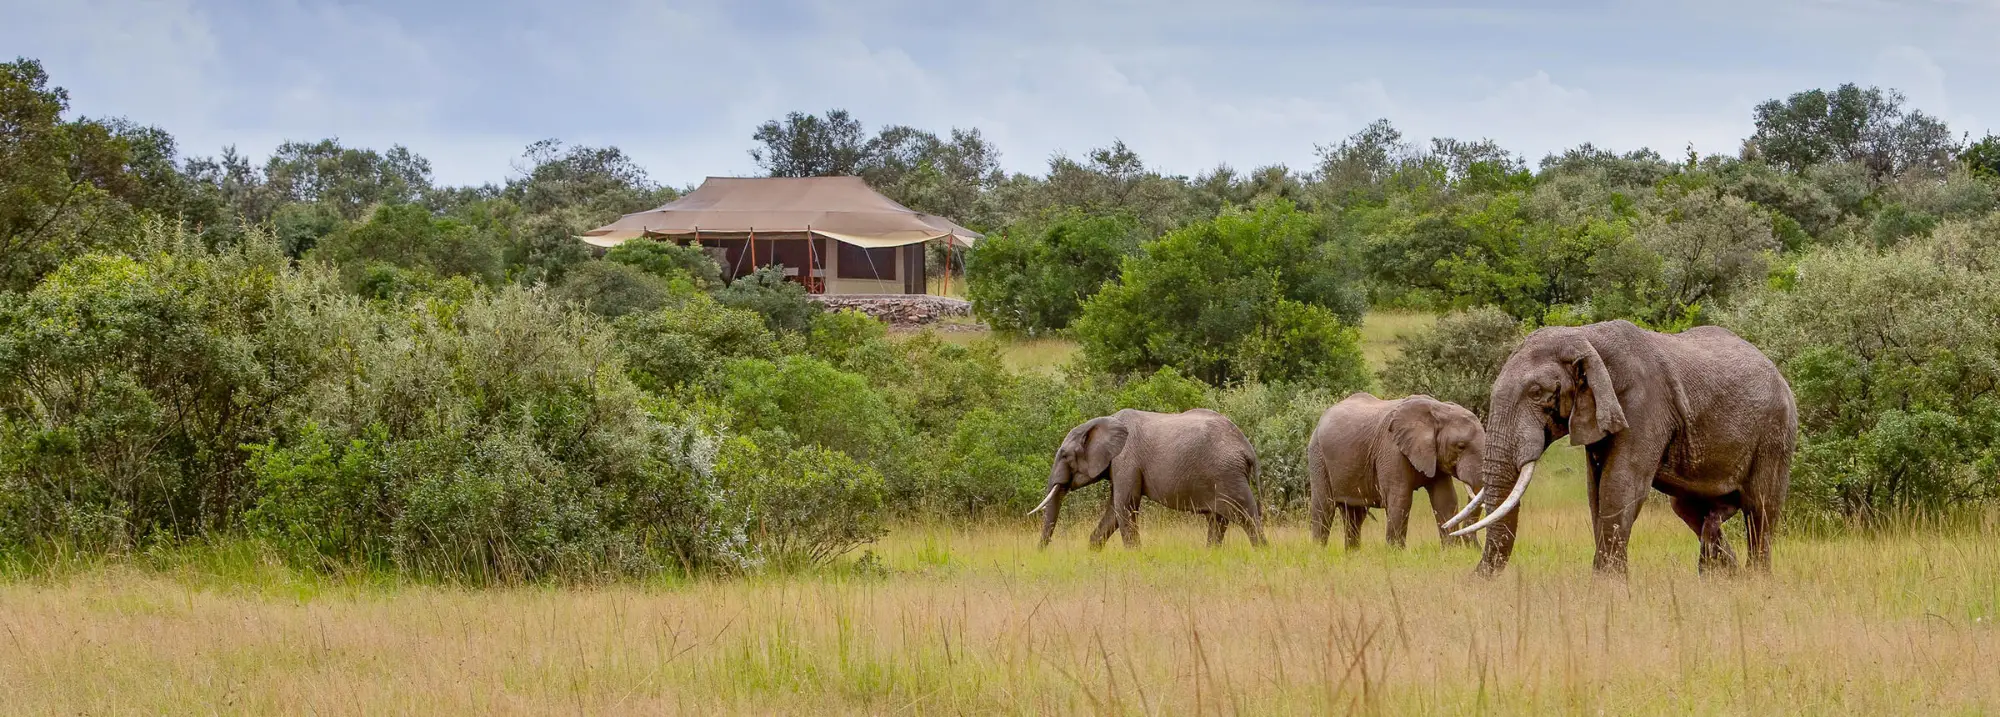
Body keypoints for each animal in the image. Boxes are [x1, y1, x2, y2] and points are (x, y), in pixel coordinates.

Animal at [1029, 408, 1267, 549]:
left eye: (1064, 455)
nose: (1041, 553)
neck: (1105, 421)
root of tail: (1248, 448)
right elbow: (1114, 511)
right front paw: (1093, 551)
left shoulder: (1126, 459)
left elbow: (1124, 506)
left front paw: (1135, 557)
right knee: (1219, 521)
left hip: (1228, 474)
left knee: (1248, 517)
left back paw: (1262, 553)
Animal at [1305, 392, 1485, 550]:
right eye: (1460, 446)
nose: (1476, 549)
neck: (1439, 409)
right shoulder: (1392, 450)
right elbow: (1400, 499)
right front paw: (1395, 553)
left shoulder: (1435, 456)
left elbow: (1445, 499)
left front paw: (1451, 551)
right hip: (1317, 456)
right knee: (1324, 507)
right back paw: (1319, 552)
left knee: (1355, 515)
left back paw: (1352, 554)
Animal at [1446, 319, 1796, 577]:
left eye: (1536, 393)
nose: (1472, 580)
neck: (1587, 337)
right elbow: (1596, 492)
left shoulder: (1644, 406)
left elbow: (1619, 485)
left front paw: (1607, 586)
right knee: (1690, 510)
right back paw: (1725, 577)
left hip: (1775, 432)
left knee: (1760, 509)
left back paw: (1755, 581)